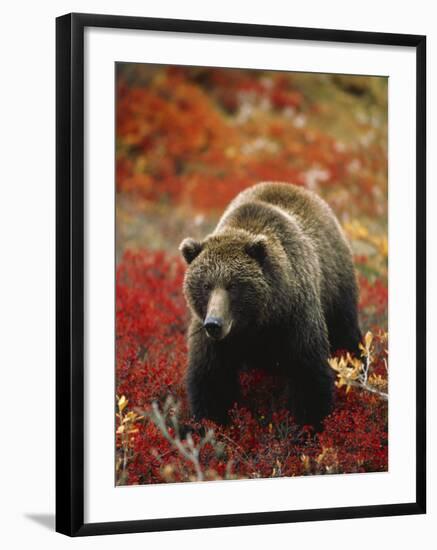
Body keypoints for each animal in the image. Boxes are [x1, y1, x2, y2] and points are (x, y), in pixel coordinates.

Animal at [178, 182, 362, 432]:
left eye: (232, 285)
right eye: (206, 285)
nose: (214, 324)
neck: (257, 322)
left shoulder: (294, 318)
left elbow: (308, 373)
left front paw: (308, 426)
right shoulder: (211, 337)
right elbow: (211, 379)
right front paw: (213, 425)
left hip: (336, 288)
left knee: (347, 334)